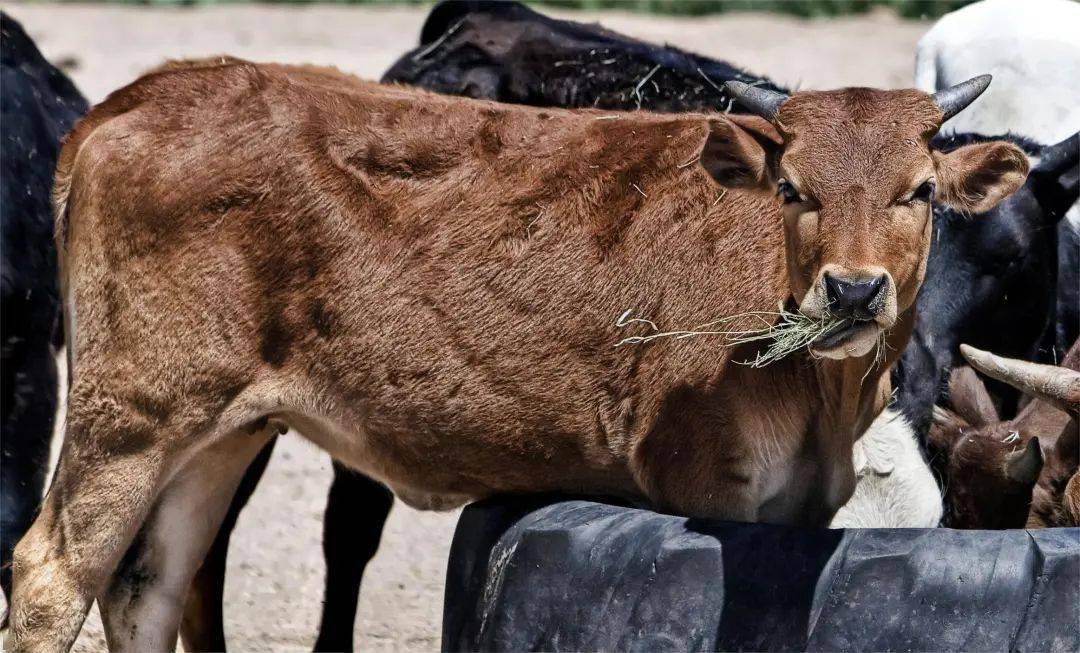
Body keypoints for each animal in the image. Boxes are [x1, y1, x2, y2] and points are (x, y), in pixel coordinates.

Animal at [10, 58, 1028, 647]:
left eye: (920, 190)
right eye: (791, 187)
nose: (852, 290)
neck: (825, 396)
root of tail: (145, 94)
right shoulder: (705, 484)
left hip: (221, 430)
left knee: (149, 584)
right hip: (132, 416)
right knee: (53, 576)